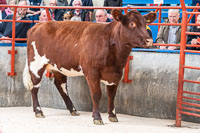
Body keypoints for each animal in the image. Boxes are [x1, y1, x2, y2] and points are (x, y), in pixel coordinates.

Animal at [22, 9, 156, 124]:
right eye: (132, 23)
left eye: (145, 23)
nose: (149, 40)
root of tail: (37, 26)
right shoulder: (92, 72)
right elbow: (96, 94)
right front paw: (97, 117)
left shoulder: (116, 73)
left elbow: (112, 95)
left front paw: (112, 116)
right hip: (36, 64)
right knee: (35, 86)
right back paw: (38, 111)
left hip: (57, 66)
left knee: (61, 85)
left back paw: (73, 110)